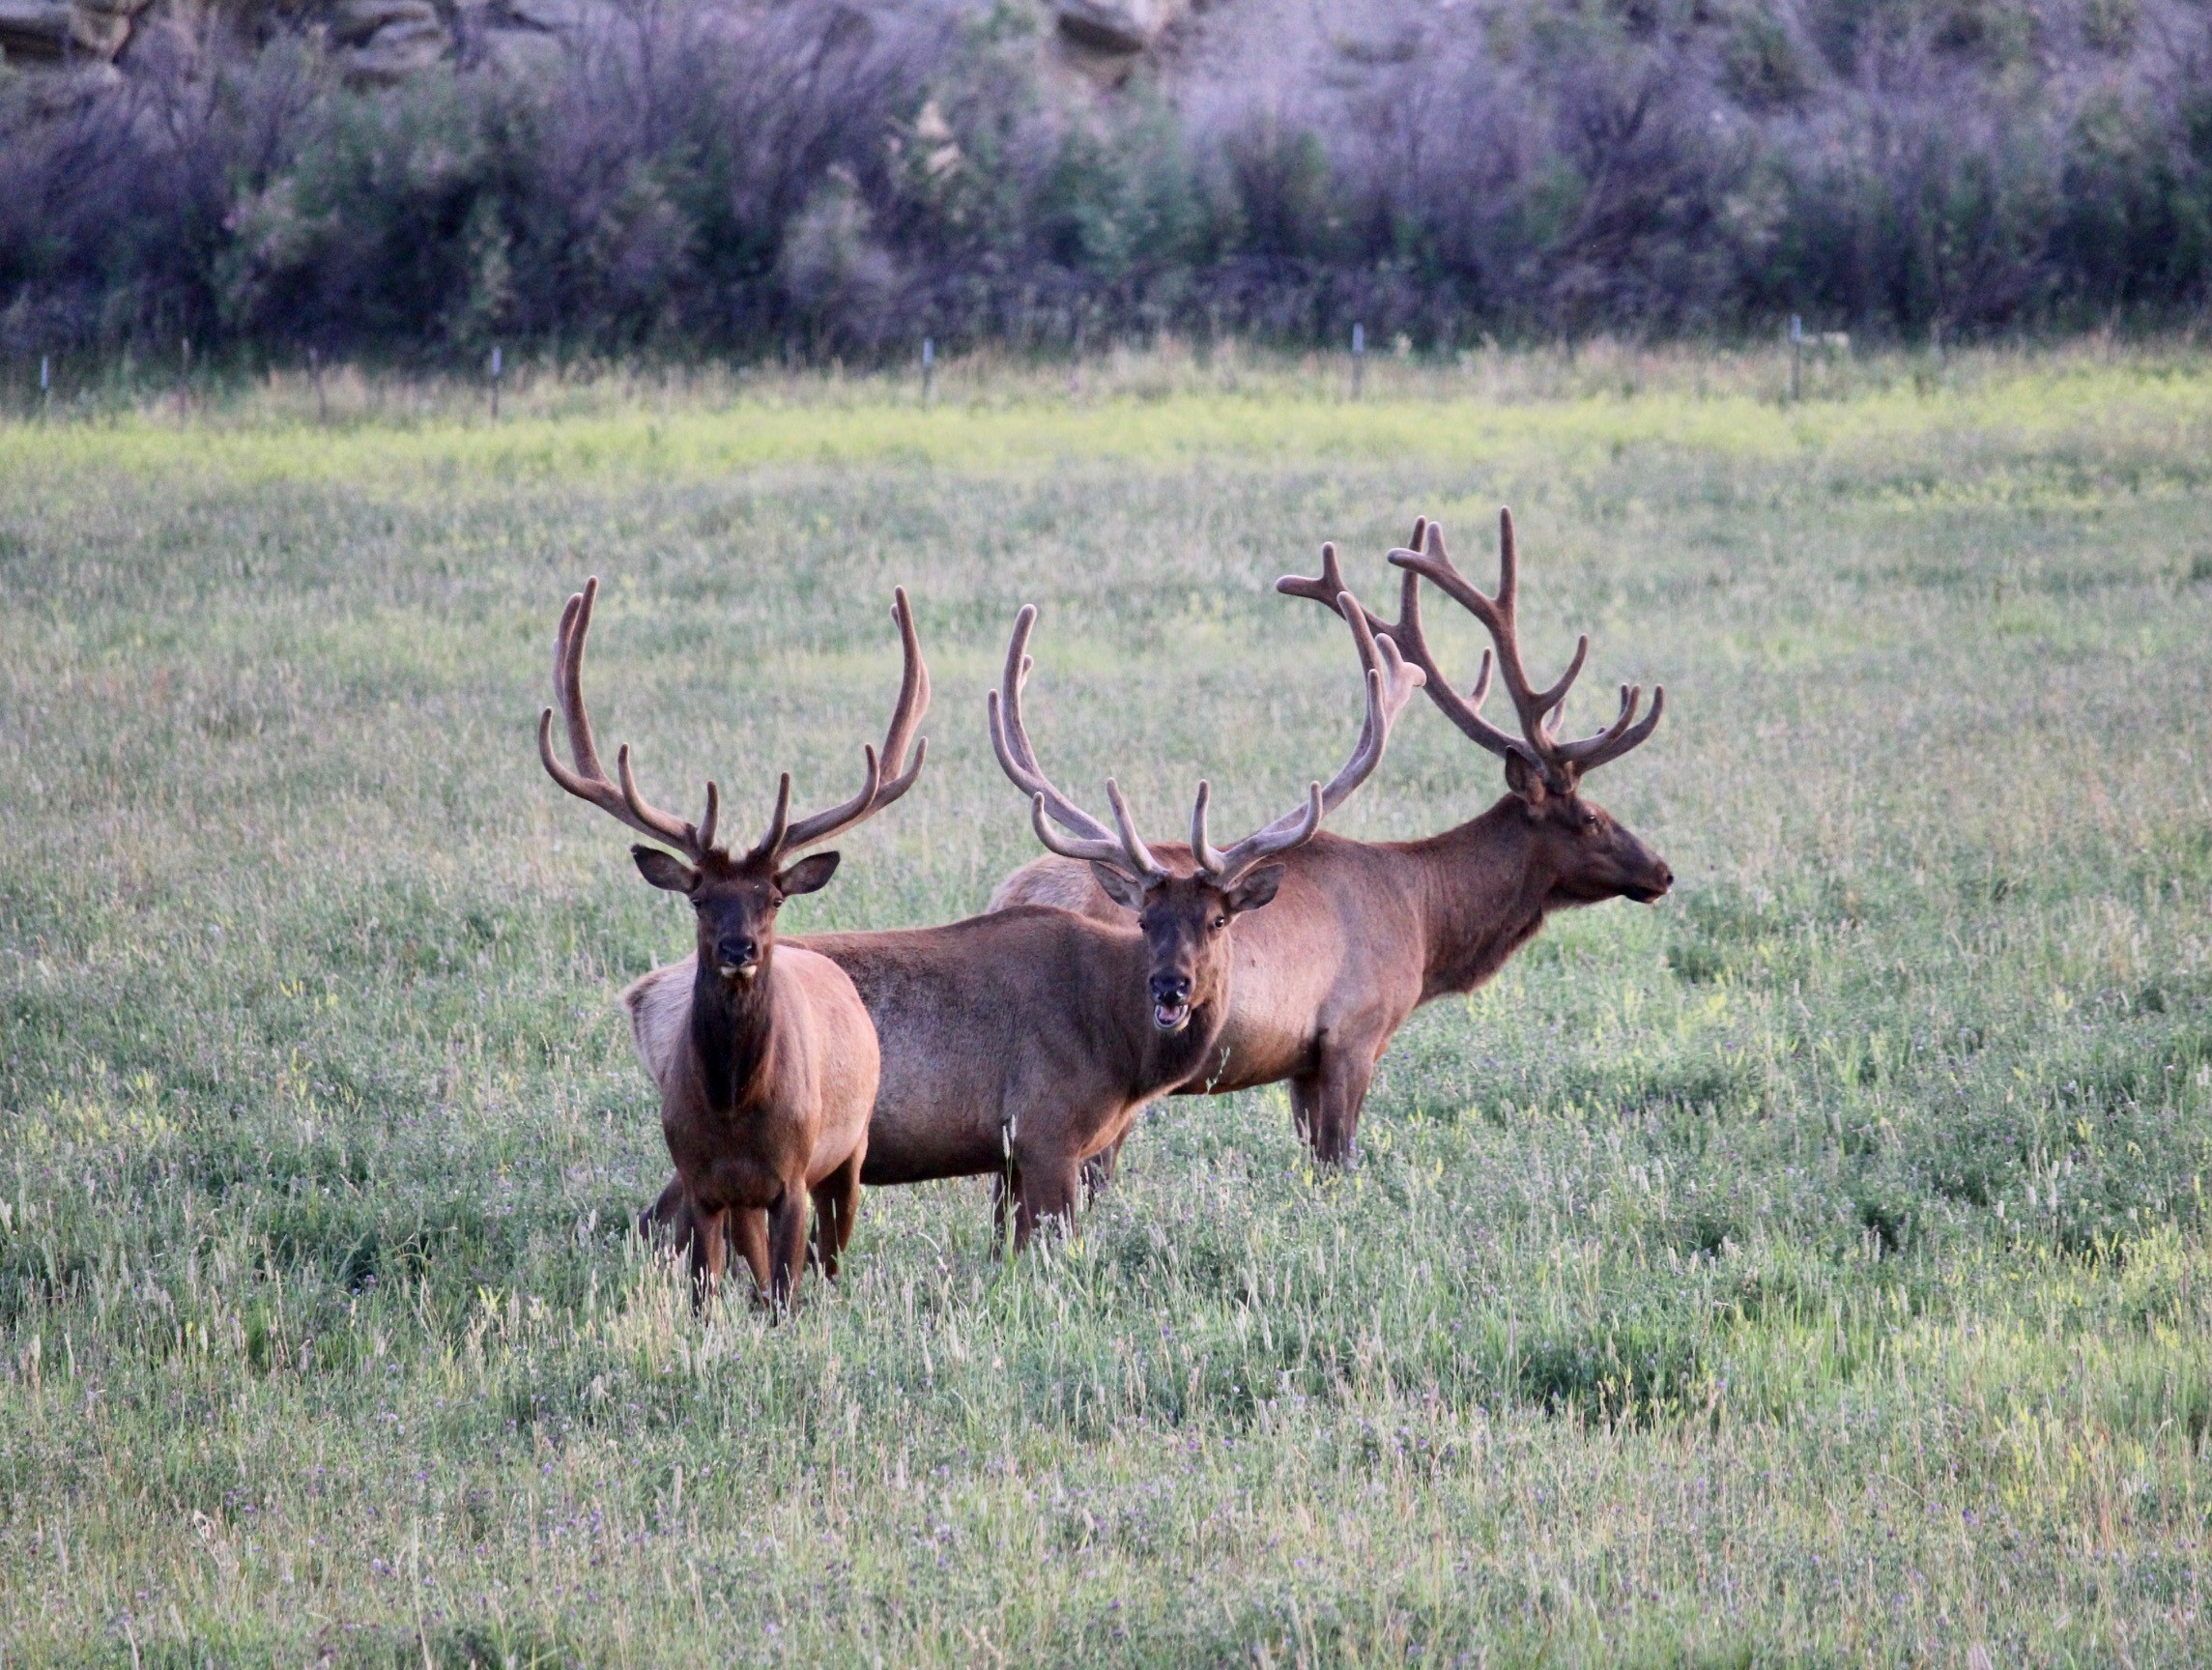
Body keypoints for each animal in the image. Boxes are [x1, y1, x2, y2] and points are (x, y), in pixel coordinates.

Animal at [548, 579, 937, 1309]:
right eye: (699, 897)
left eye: (773, 898)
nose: (738, 950)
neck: (732, 1109)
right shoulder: (703, 1180)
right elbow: (706, 1291)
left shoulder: (792, 1176)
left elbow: (785, 1289)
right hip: (748, 1197)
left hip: (849, 1152)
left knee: (828, 1254)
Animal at [628, 588, 1415, 1238]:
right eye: (1144, 921)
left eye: (1218, 921)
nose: (1172, 988)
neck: (1121, 1050)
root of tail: (639, 997)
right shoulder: (1046, 1131)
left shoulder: (1010, 1156)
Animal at [995, 506, 1663, 1159]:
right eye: (1592, 818)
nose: (1661, 871)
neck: (1424, 920)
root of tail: (1013, 894)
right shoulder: (1354, 1032)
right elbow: (1338, 1156)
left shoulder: (1302, 1061)